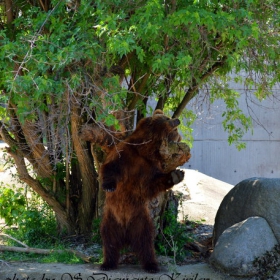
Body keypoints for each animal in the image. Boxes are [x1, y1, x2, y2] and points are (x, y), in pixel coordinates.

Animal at [100, 110, 186, 274]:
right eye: (167, 118)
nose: (177, 119)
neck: (145, 151)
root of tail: (126, 235)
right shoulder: (125, 154)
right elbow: (110, 167)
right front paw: (109, 186)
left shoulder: (150, 168)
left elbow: (153, 184)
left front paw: (176, 174)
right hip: (111, 219)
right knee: (109, 240)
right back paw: (107, 263)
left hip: (141, 220)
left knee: (146, 243)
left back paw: (151, 265)